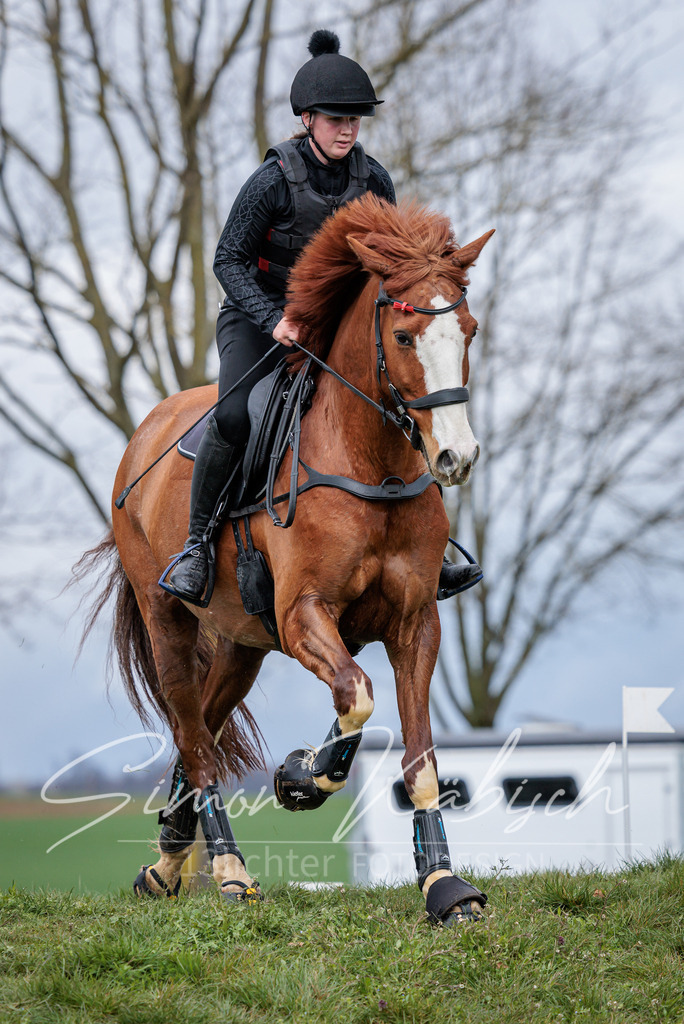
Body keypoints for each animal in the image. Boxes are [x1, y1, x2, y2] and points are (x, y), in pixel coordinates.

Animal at [86, 193, 494, 925]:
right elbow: (357, 695)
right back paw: (228, 870)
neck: (372, 464)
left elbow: (416, 752)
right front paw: (304, 776)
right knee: (194, 737)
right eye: (404, 337)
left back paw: (166, 865)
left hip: (241, 645)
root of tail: (142, 439)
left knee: (201, 731)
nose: (456, 456)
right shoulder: (305, 613)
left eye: (469, 330)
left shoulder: (416, 623)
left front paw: (444, 885)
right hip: (168, 621)